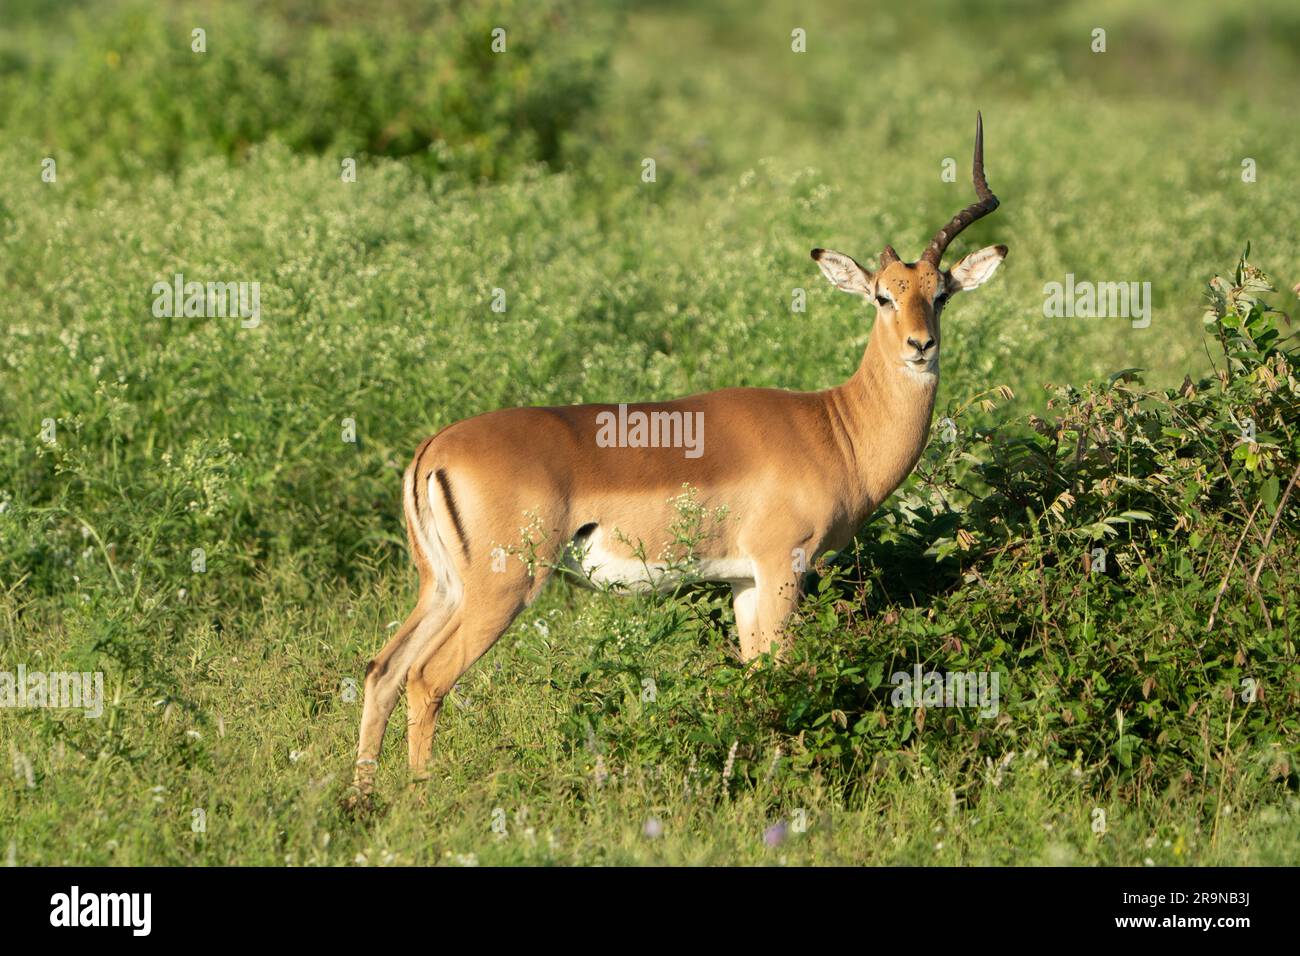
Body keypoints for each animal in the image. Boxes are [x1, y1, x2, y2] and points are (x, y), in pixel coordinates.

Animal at [350, 114, 1007, 799]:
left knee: (382, 669)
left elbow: (756, 674)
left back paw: (362, 799)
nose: (920, 346)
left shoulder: (745, 581)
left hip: (443, 588)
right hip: (503, 587)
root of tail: (434, 449)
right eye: (882, 295)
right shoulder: (783, 567)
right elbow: (782, 672)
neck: (835, 427)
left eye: (941, 293)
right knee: (426, 678)